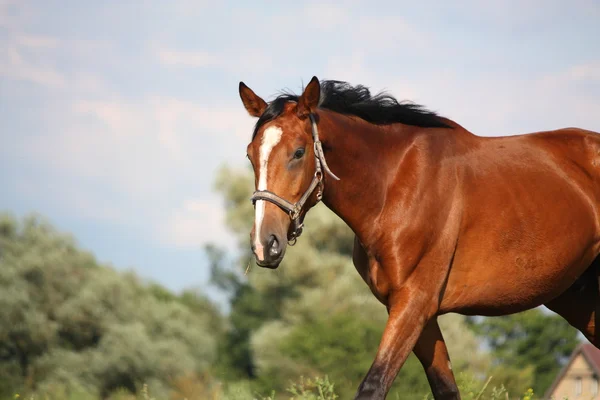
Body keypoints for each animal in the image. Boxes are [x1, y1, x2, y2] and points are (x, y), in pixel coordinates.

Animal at [237, 76, 600, 400]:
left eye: (299, 152)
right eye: (251, 154)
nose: (265, 244)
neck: (395, 184)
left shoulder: (414, 302)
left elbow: (373, 386)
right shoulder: (415, 312)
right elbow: (446, 388)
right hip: (578, 300)